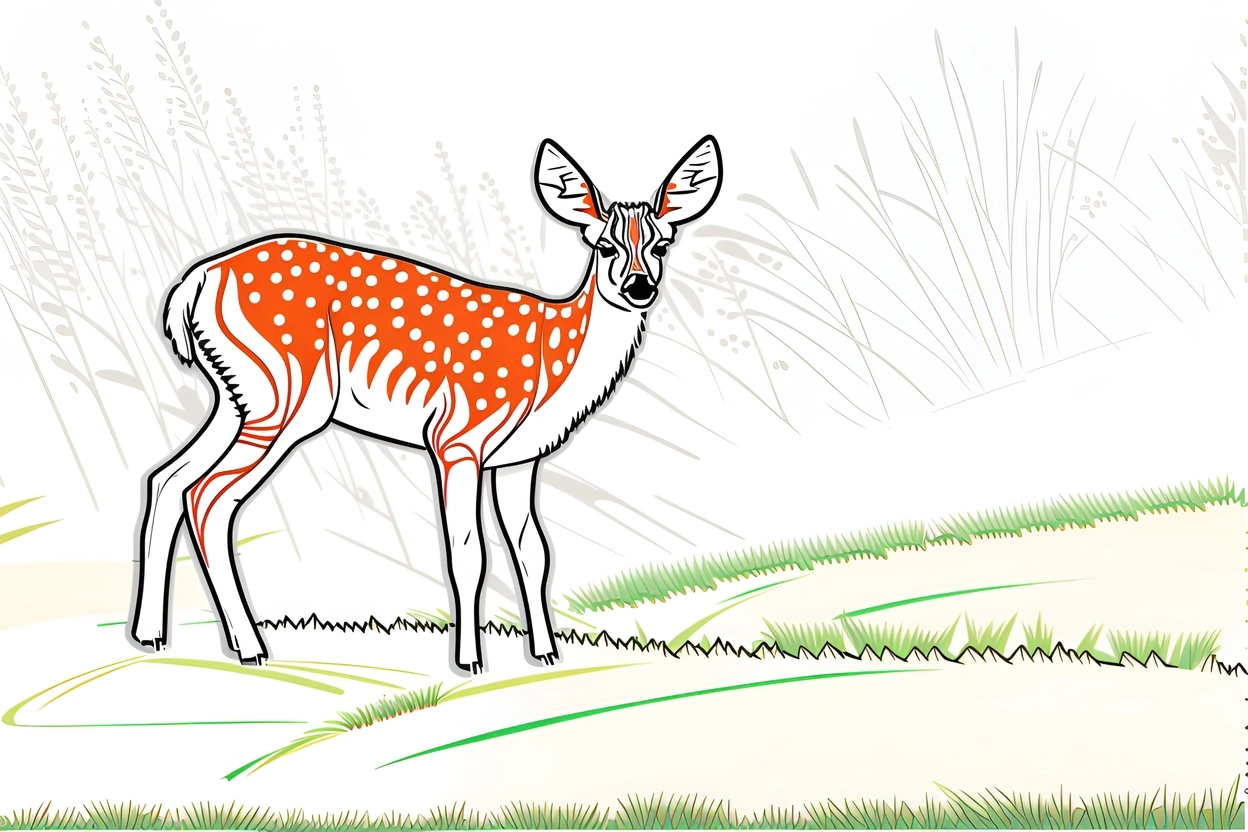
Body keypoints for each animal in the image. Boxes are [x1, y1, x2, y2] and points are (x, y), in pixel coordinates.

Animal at [130, 135, 722, 674]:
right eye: (602, 245)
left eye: (662, 244)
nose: (640, 288)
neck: (552, 360)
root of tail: (192, 283)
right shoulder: (458, 435)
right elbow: (467, 552)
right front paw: (471, 661)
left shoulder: (520, 459)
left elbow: (534, 552)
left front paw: (546, 653)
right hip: (286, 394)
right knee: (208, 496)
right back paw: (250, 648)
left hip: (237, 395)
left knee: (167, 478)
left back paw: (152, 636)